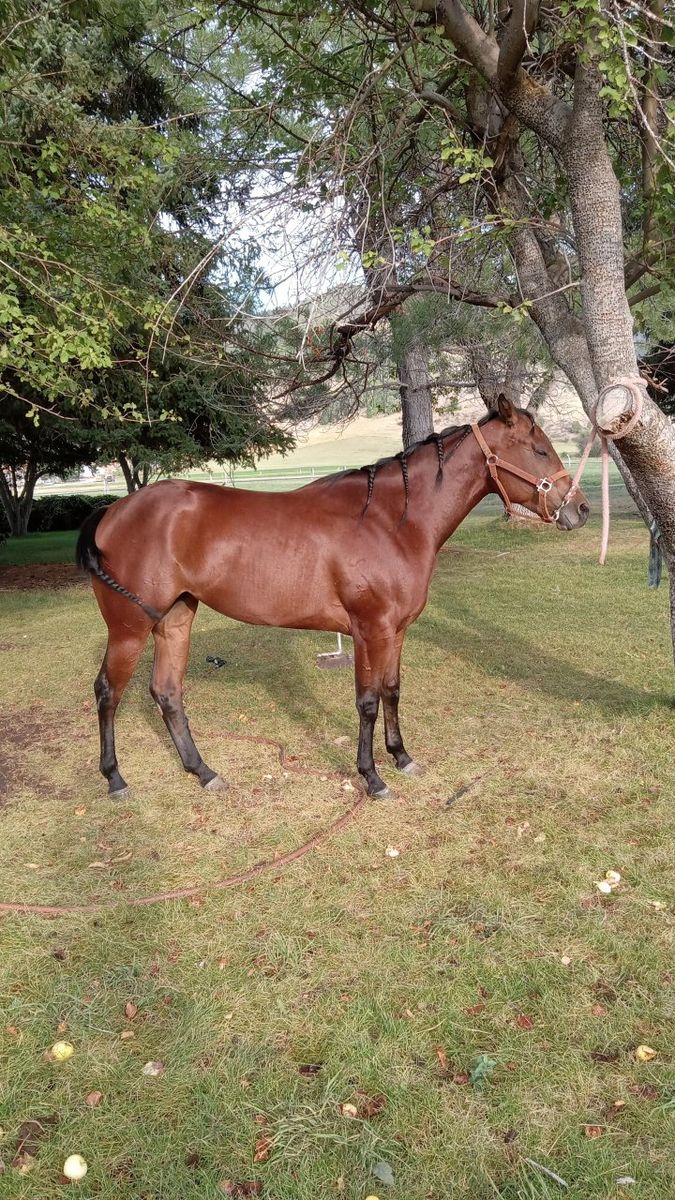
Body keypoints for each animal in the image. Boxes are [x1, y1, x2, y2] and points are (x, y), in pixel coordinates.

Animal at [76, 397, 589, 800]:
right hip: (129, 629)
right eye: (538, 449)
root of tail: (113, 510)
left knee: (167, 693)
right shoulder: (369, 630)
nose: (581, 509)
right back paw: (115, 779)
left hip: (174, 620)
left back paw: (203, 772)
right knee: (108, 692)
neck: (391, 521)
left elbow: (392, 690)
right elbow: (367, 701)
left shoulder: (396, 632)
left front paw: (402, 757)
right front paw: (373, 778)